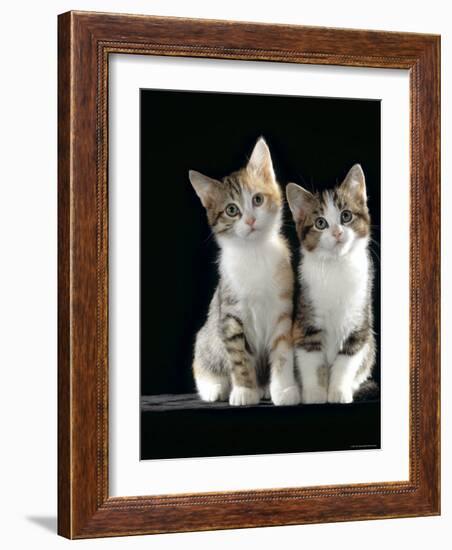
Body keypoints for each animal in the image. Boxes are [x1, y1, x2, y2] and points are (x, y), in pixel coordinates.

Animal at [187, 140, 300, 408]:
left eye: (257, 199)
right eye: (231, 210)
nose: (249, 220)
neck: (254, 252)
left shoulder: (282, 311)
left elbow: (282, 353)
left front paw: (284, 389)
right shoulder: (230, 316)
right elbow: (238, 357)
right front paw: (244, 391)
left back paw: (265, 388)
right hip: (207, 338)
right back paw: (215, 387)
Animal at [288, 165, 376, 406]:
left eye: (346, 216)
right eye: (320, 223)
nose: (337, 232)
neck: (337, 266)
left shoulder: (360, 323)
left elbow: (347, 360)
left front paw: (338, 391)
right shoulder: (305, 321)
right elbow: (311, 358)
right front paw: (315, 394)